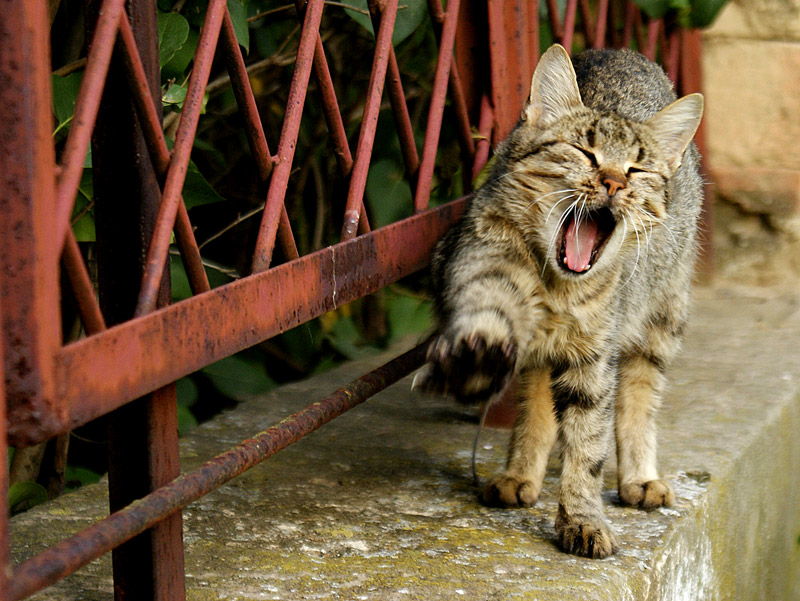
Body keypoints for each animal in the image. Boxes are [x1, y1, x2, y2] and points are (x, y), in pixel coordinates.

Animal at [418, 44, 704, 558]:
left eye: (636, 169)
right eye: (586, 152)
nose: (614, 183)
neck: (557, 288)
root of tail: (622, 50)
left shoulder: (595, 358)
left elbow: (587, 448)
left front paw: (582, 518)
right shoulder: (472, 260)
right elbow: (488, 315)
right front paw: (473, 366)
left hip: (661, 319)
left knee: (639, 397)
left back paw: (640, 477)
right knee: (535, 402)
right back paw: (519, 474)